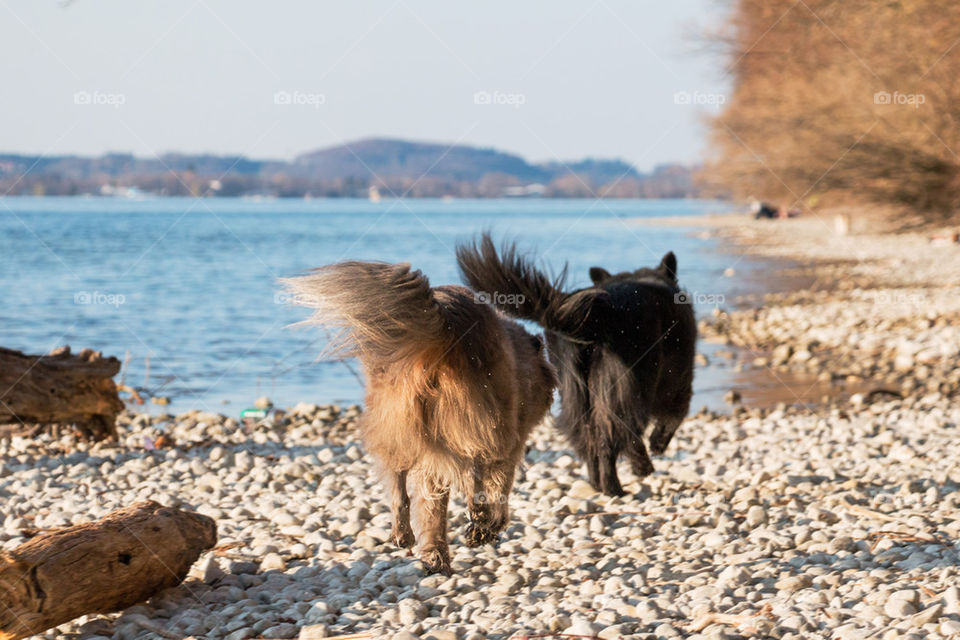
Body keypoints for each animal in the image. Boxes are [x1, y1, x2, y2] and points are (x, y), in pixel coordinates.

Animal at [282, 262, 556, 576]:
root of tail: (445, 330)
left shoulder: (431, 458)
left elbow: (432, 510)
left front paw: (437, 552)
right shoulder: (509, 444)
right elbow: (499, 486)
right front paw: (486, 528)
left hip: (397, 424)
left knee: (399, 486)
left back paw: (406, 535)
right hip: (481, 423)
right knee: (472, 469)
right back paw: (478, 516)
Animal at [458, 232, 696, 498]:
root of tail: (599, 313)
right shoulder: (678, 380)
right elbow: (674, 416)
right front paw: (657, 445)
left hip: (576, 393)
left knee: (588, 439)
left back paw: (598, 483)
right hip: (628, 389)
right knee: (613, 437)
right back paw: (618, 485)